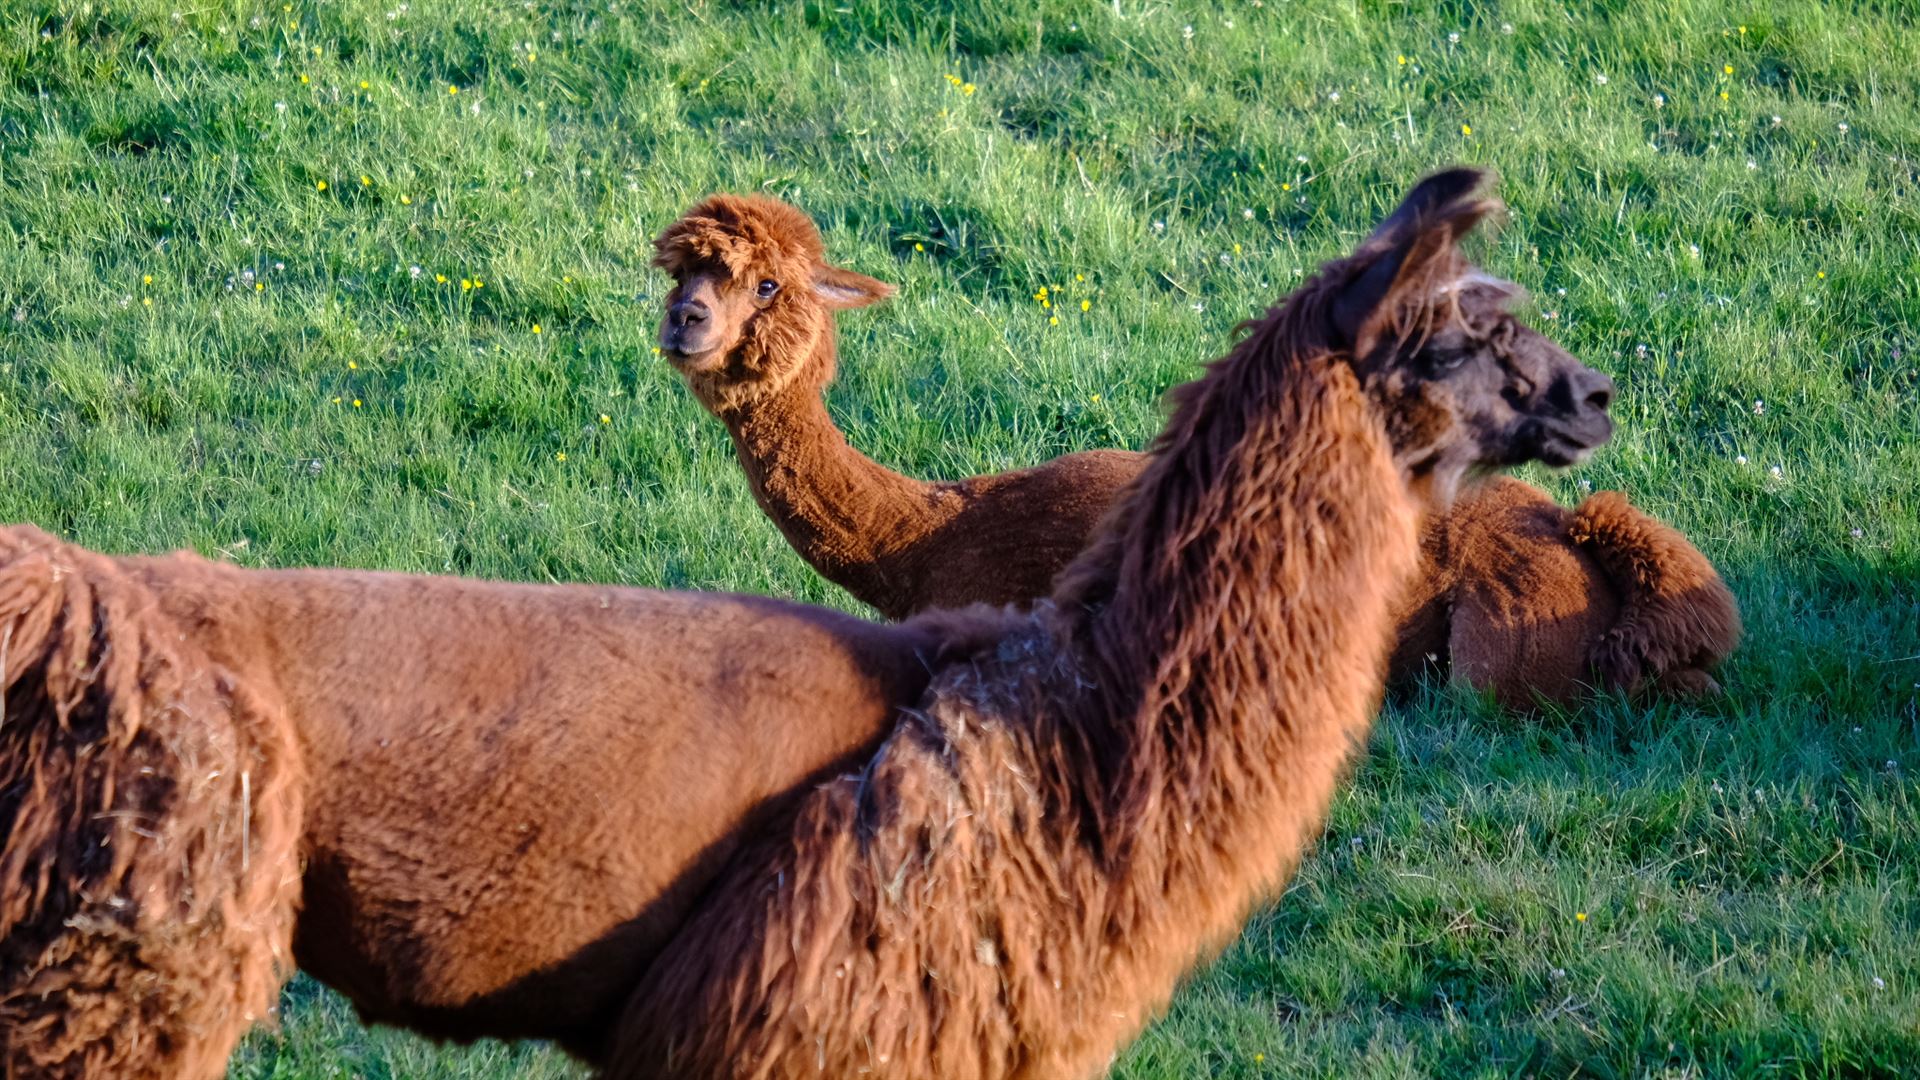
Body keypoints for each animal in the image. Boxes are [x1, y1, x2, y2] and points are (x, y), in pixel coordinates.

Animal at [654, 194, 1738, 706]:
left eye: (765, 285)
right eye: (678, 278)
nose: (684, 323)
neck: (931, 533)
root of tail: (1581, 536)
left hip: (1495, 654)